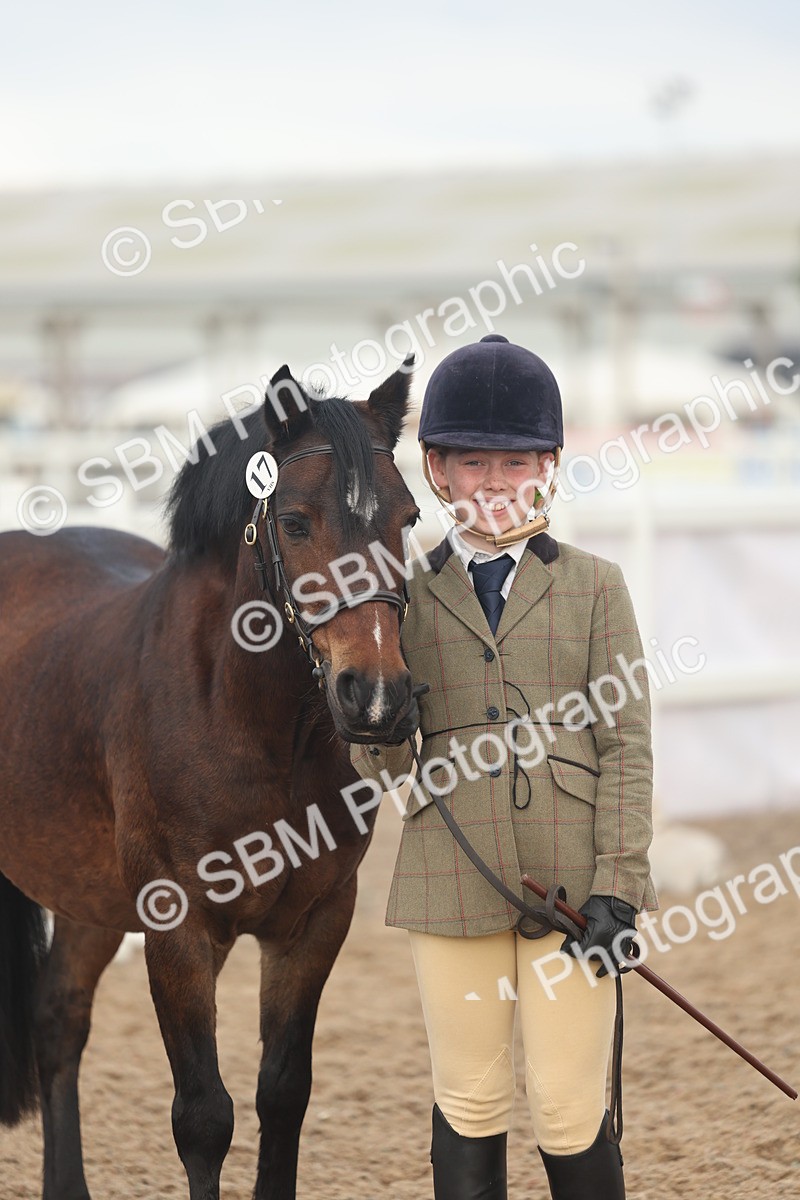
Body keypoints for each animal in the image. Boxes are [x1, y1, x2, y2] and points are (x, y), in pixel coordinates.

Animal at [0, 357, 419, 1200]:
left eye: (411, 517)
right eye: (294, 522)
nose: (377, 697)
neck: (244, 721)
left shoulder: (314, 923)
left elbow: (283, 1094)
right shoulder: (180, 930)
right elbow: (203, 1116)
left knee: (59, 1020)